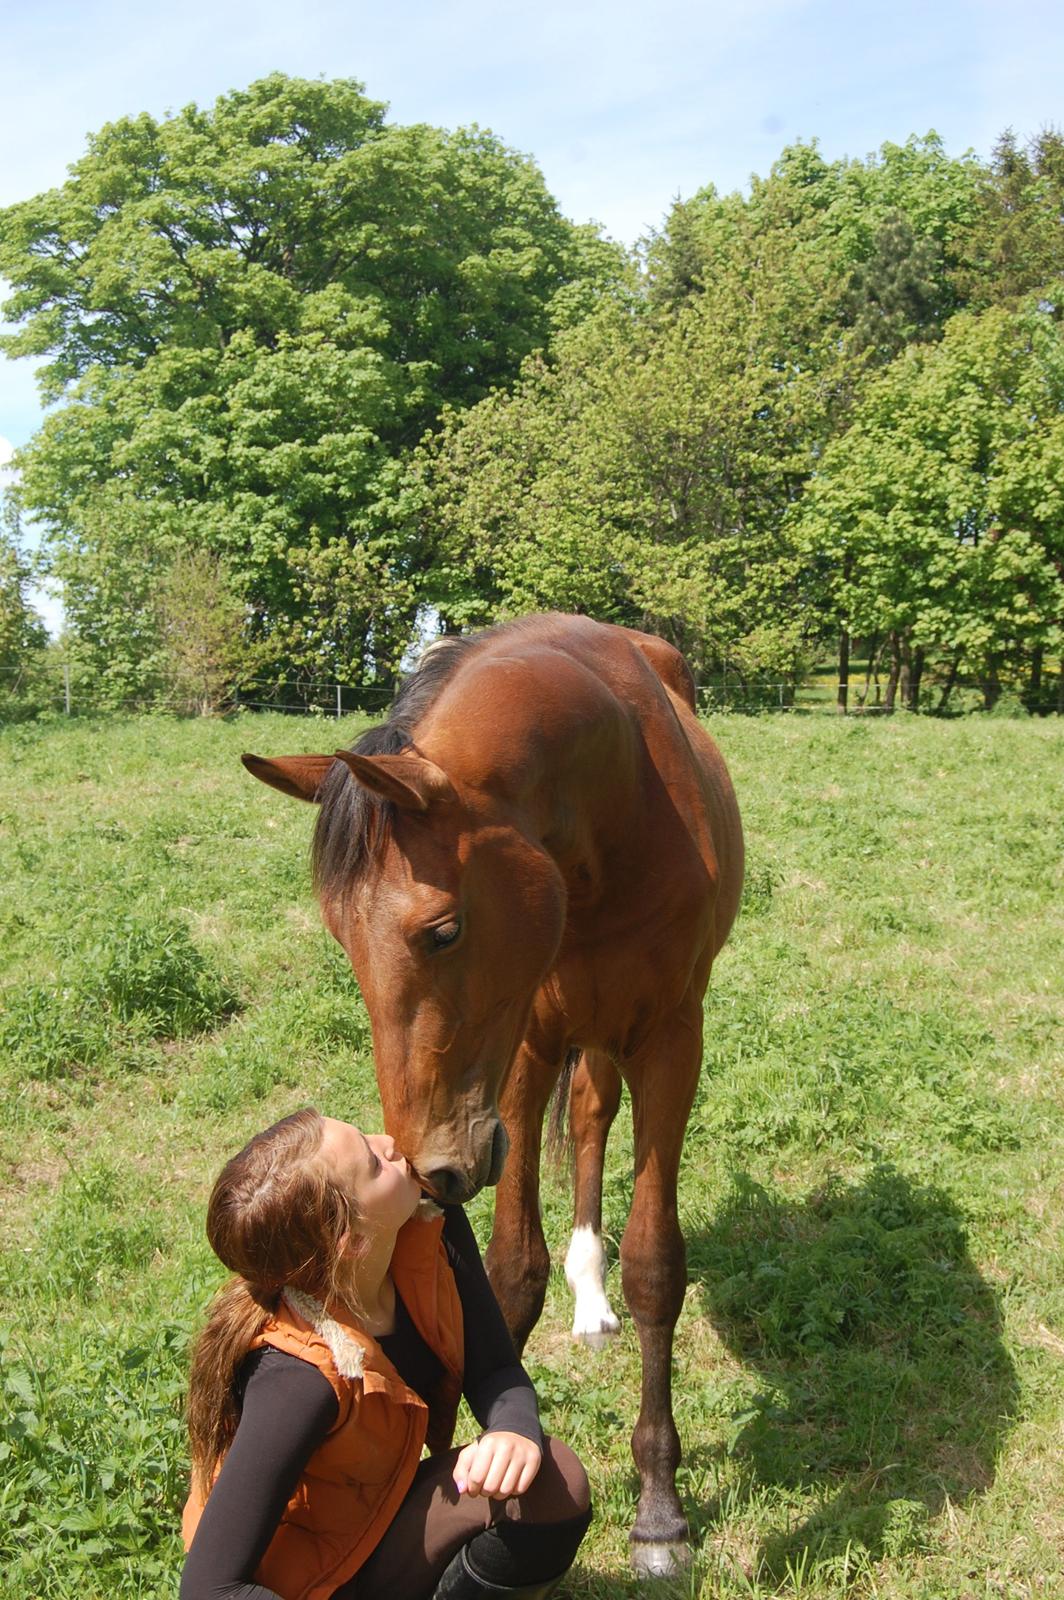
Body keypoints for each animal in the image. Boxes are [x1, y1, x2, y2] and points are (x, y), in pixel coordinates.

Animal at [241, 611, 742, 1574]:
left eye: (441, 931)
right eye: (340, 937)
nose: (427, 1169)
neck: (613, 809)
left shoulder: (672, 1040)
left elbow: (658, 1265)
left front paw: (659, 1512)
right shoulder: (526, 1050)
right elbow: (510, 1273)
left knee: (594, 1123)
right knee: (586, 1120)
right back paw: (587, 1292)